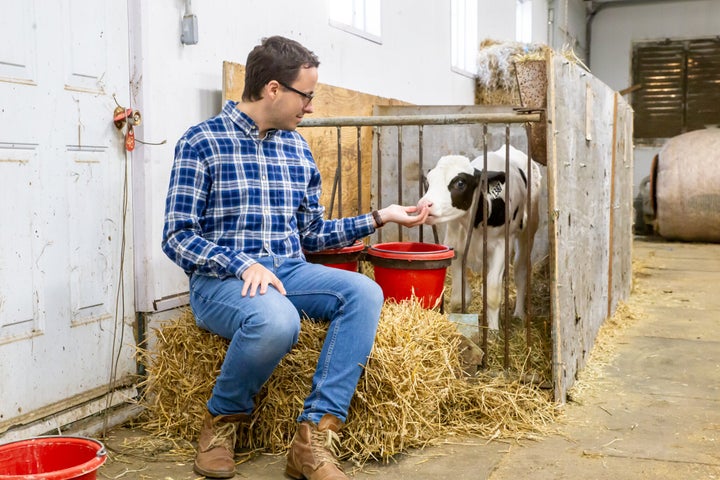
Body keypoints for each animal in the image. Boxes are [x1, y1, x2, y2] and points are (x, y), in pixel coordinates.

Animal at [416, 145, 540, 330]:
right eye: (428, 182)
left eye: (460, 183)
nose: (424, 204)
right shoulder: (455, 245)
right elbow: (459, 297)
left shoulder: (501, 246)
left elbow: (493, 294)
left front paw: (494, 331)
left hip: (529, 229)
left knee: (520, 270)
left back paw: (518, 313)